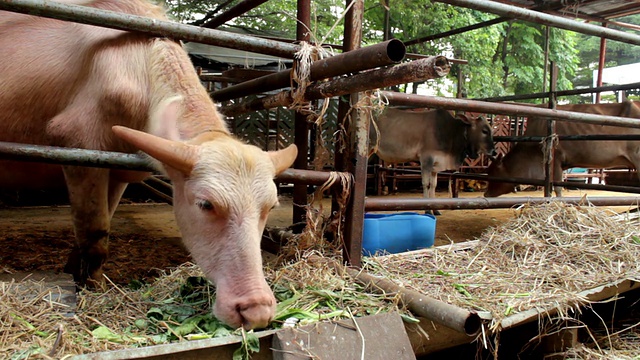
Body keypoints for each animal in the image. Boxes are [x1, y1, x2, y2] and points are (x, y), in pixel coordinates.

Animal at [0, 0, 298, 330]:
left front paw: (80, 272)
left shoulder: (117, 174)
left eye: (270, 207)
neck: (135, 65)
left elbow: (99, 226)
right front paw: (90, 286)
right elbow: (95, 235)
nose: (255, 309)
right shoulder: (78, 148)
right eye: (205, 204)